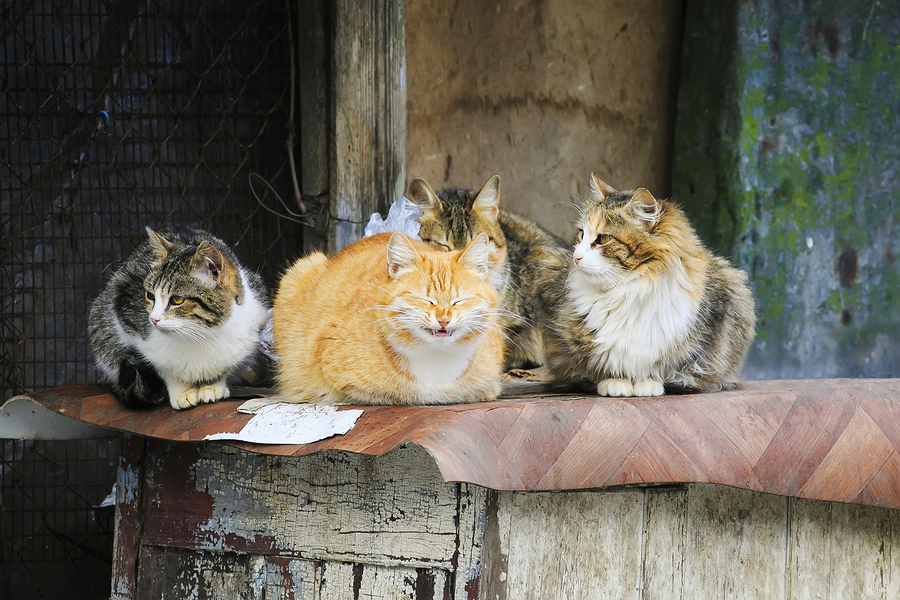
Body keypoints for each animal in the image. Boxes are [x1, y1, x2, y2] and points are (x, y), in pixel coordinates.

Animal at [89, 227, 268, 410]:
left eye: (177, 300)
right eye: (150, 296)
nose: (153, 319)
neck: (199, 336)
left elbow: (226, 368)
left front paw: (213, 386)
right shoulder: (127, 315)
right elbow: (164, 369)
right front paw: (182, 392)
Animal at [536, 176, 756, 396]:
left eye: (604, 238)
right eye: (581, 234)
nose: (576, 257)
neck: (628, 289)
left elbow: (661, 368)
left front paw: (647, 383)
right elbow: (601, 365)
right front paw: (616, 382)